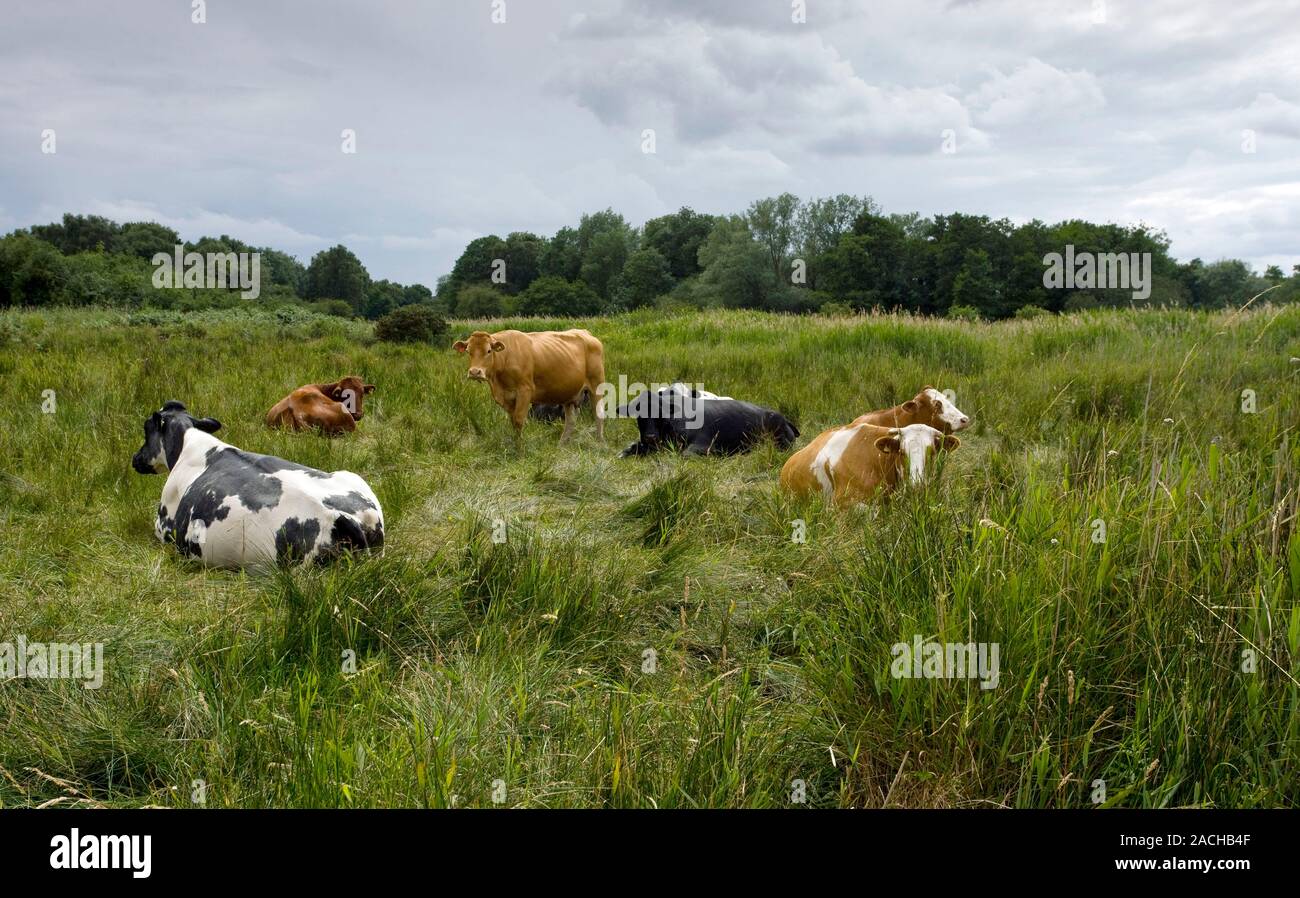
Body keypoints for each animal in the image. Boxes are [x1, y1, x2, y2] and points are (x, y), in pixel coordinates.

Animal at [452, 328, 603, 444]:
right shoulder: (506, 397)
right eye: (468, 351)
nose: (474, 372)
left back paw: (600, 443)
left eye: (489, 351)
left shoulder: (525, 391)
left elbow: (518, 421)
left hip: (596, 385)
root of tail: (585, 333)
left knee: (598, 415)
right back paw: (562, 445)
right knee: (570, 421)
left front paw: (520, 450)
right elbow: (513, 422)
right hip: (569, 394)